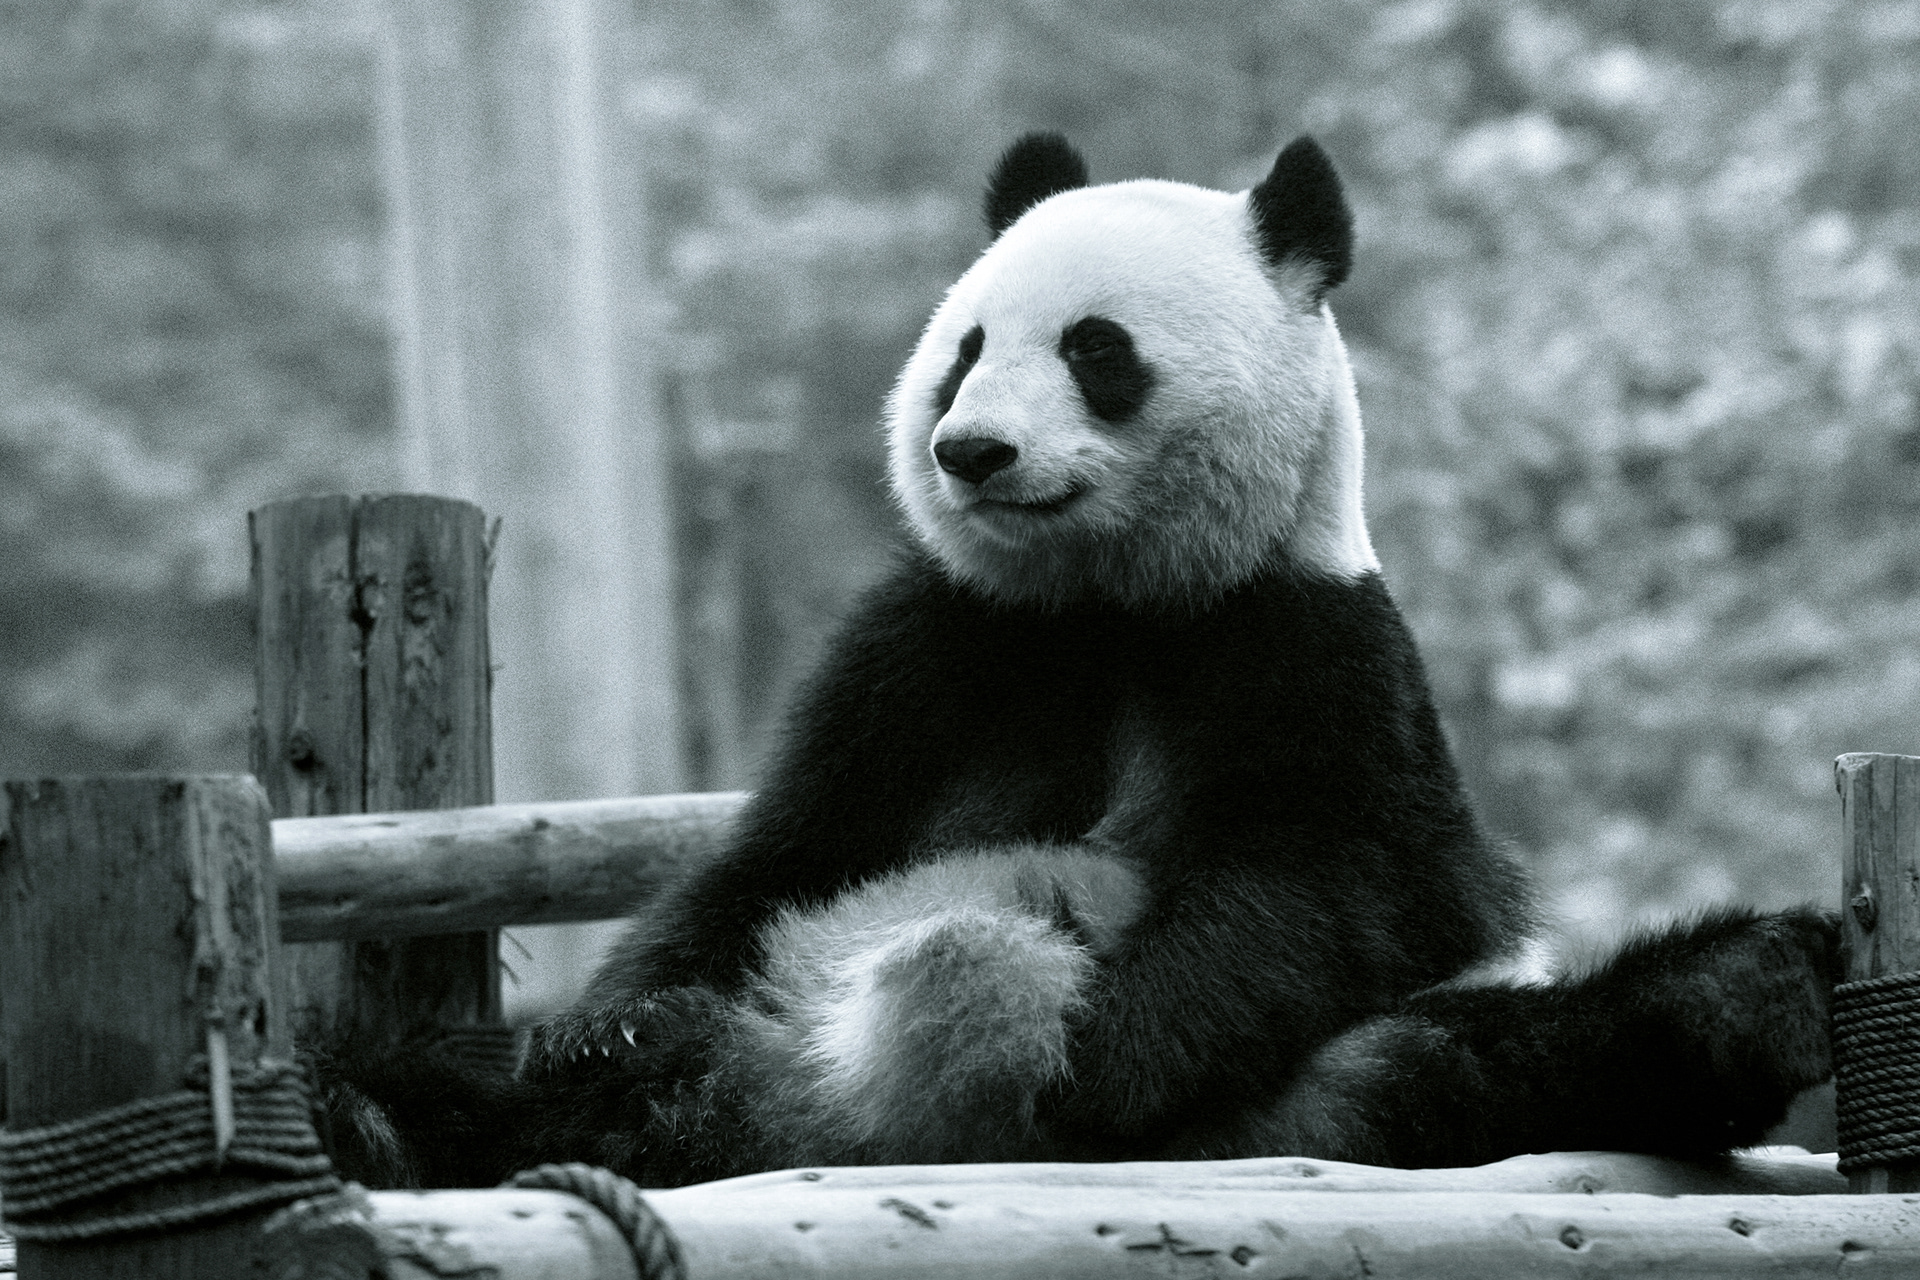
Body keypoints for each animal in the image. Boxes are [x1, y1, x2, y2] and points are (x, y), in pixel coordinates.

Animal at [330, 134, 1837, 1188]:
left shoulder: (1309, 644)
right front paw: (614, 1021)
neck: (1103, 599)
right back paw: (397, 1121)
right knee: (467, 1078)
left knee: (1498, 1058)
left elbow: (1344, 884)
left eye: (1096, 350)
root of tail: (806, 1110)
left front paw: (1098, 1054)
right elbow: (782, 850)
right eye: (963, 351)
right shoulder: (936, 645)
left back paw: (1755, 989)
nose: (971, 452)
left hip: (1326, 1094)